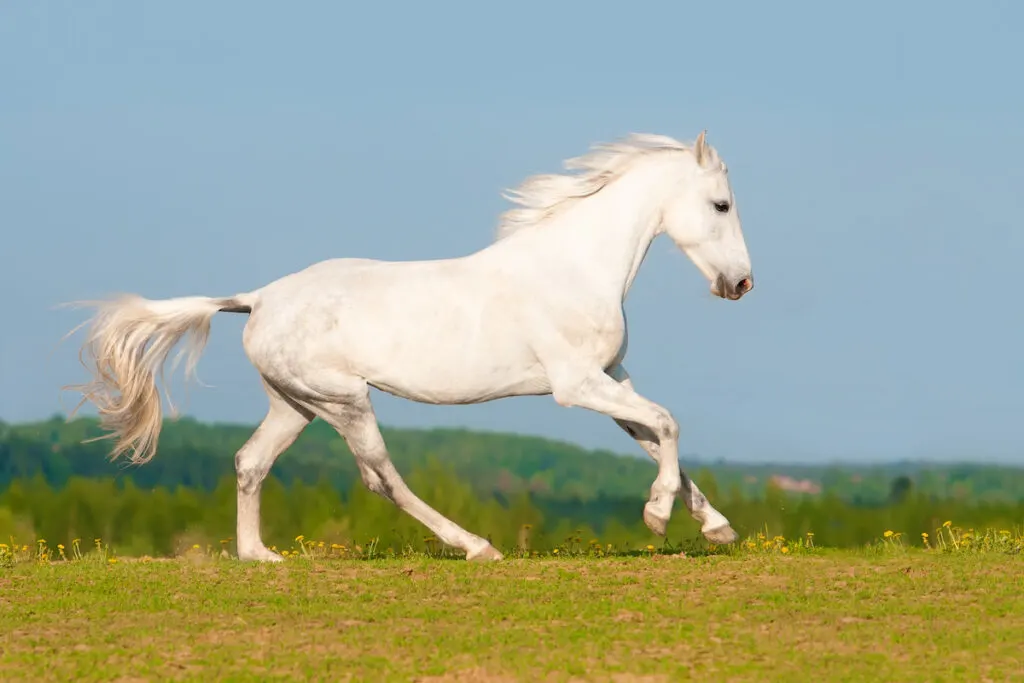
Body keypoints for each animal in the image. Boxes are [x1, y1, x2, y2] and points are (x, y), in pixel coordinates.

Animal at [64, 131, 753, 565]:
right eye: (721, 204)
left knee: (250, 462)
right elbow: (668, 423)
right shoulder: (576, 385)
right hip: (344, 402)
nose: (741, 284)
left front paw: (716, 527)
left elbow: (658, 437)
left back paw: (259, 555)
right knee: (381, 478)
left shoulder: (612, 377)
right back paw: (475, 546)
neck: (574, 267)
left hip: (296, 405)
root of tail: (258, 299)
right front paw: (658, 518)